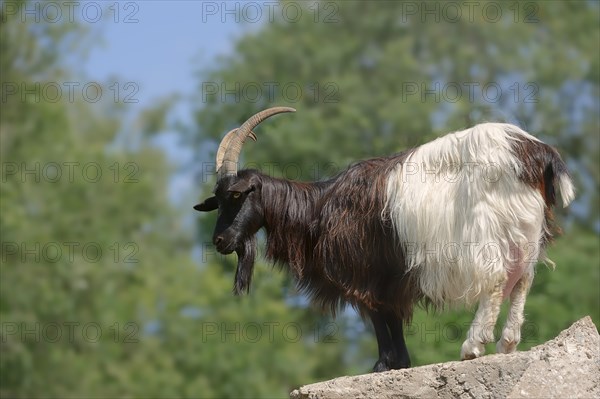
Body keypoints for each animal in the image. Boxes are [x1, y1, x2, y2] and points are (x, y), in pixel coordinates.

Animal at [195, 106, 576, 372]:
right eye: (218, 200)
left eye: (236, 197)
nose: (220, 240)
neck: (320, 209)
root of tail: (536, 152)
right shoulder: (389, 276)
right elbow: (390, 316)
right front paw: (400, 362)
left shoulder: (367, 272)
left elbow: (380, 317)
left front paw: (381, 365)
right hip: (524, 229)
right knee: (522, 279)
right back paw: (508, 343)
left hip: (487, 229)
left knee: (496, 279)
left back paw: (472, 346)